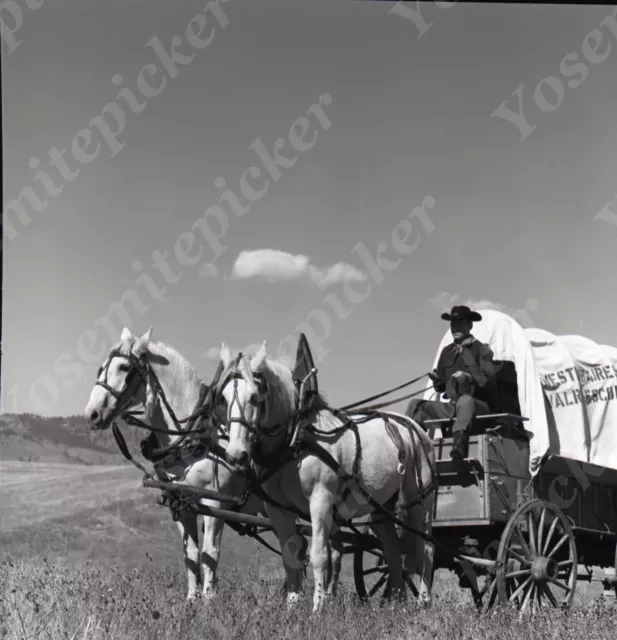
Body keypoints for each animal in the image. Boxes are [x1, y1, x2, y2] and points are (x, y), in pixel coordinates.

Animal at [83, 328, 280, 604]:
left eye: (124, 367)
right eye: (101, 367)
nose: (92, 413)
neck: (195, 437)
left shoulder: (215, 503)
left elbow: (210, 553)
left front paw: (209, 601)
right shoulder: (180, 504)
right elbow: (192, 554)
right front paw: (192, 600)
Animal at [218, 342, 438, 612]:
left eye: (254, 397)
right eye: (223, 398)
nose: (235, 454)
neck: (295, 441)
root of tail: (417, 429)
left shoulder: (320, 501)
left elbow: (319, 555)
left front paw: (318, 608)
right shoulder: (278, 509)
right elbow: (290, 555)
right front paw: (292, 608)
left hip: (419, 503)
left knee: (426, 548)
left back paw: (423, 602)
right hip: (383, 509)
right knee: (394, 551)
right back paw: (396, 604)